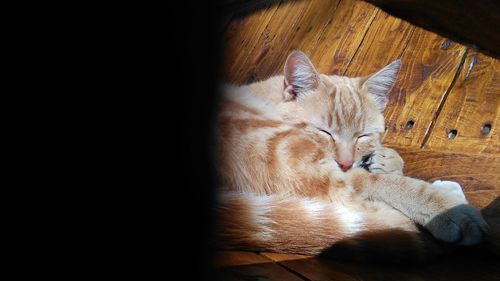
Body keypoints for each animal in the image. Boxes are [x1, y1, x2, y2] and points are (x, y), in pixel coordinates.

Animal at [213, 49, 486, 260]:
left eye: (362, 136)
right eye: (325, 132)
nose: (345, 162)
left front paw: (384, 158)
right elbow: (386, 184)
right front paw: (445, 207)